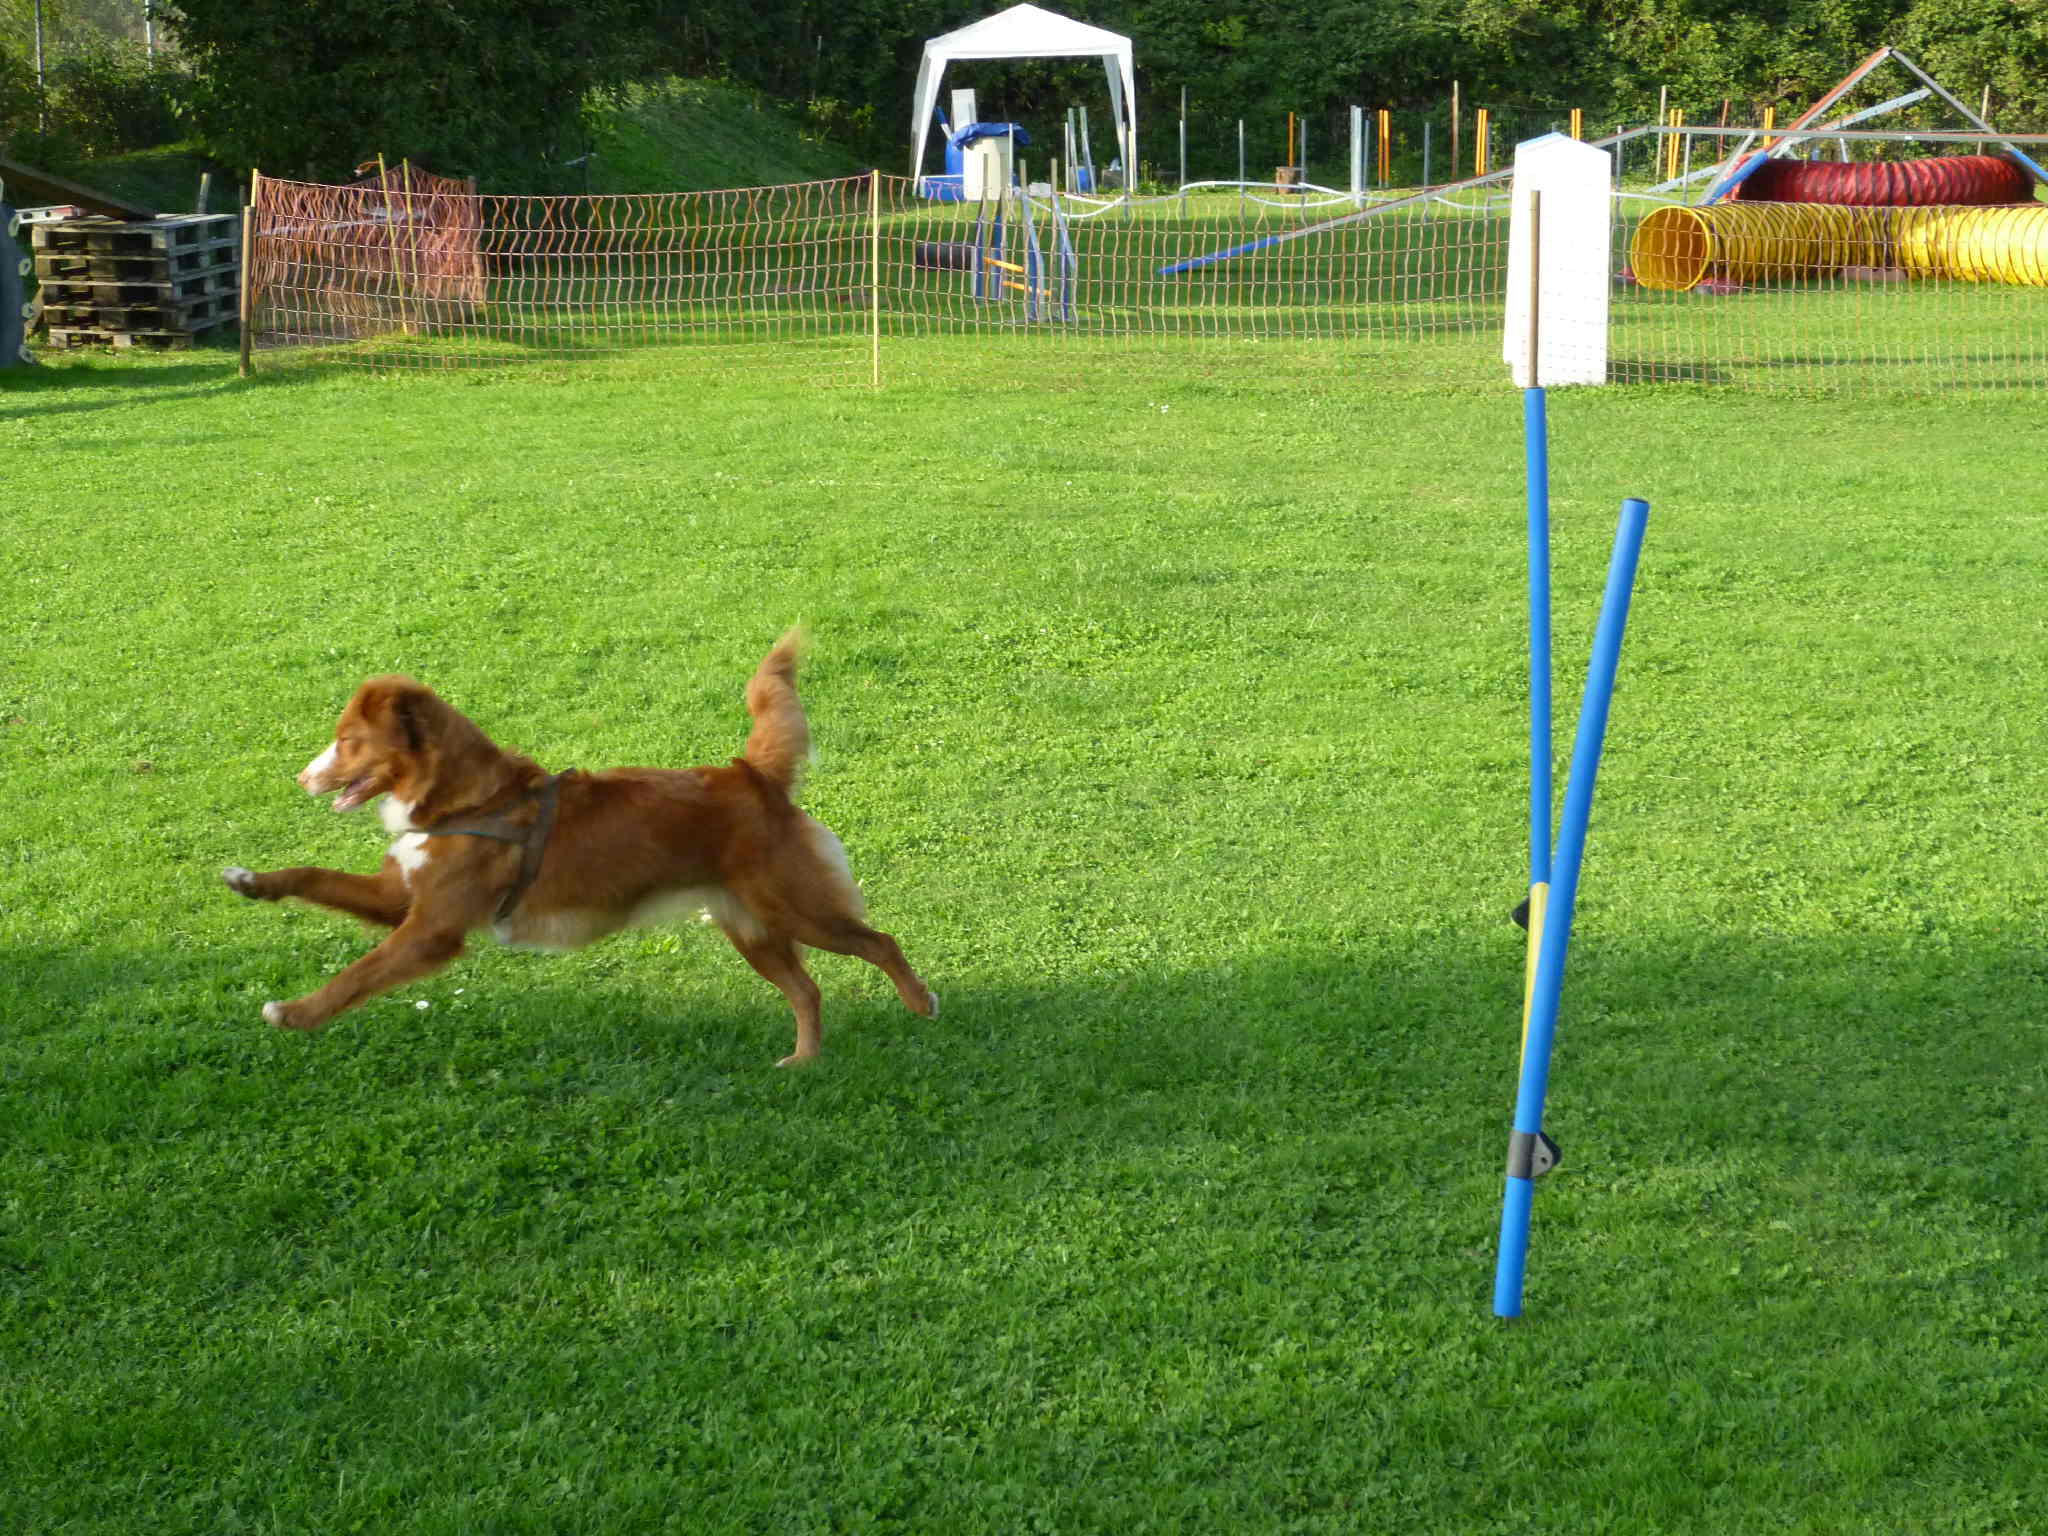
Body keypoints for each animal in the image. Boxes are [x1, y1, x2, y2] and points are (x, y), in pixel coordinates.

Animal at [222, 633, 936, 1065]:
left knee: (881, 943)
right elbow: (314, 875)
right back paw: (804, 1061)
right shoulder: (397, 896)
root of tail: (750, 774)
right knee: (808, 991)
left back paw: (921, 1006)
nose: (301, 779)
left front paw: (294, 1012)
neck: (464, 802)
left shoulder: (430, 930)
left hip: (796, 909)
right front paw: (251, 881)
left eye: (347, 743)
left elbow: (359, 975)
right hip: (752, 928)